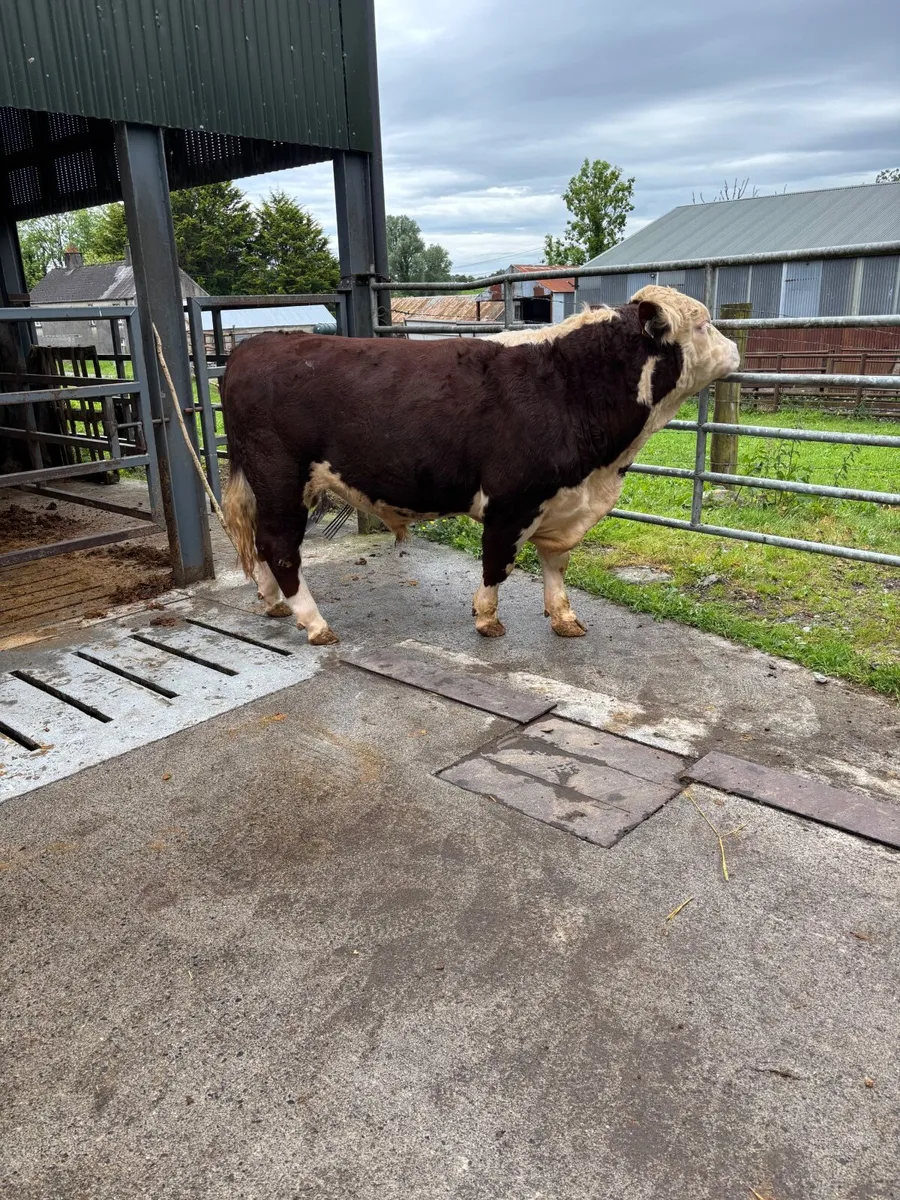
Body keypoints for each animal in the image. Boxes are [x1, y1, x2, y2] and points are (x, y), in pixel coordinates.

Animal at [221, 285, 740, 645]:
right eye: (702, 324)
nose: (736, 350)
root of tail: (254, 346)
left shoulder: (562, 503)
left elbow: (556, 563)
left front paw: (564, 617)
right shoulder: (512, 500)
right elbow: (497, 562)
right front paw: (487, 619)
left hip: (271, 484)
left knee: (263, 544)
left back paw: (274, 603)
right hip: (281, 478)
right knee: (280, 547)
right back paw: (315, 623)